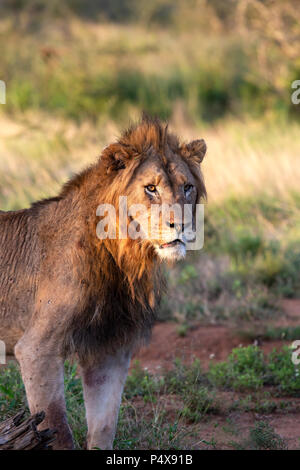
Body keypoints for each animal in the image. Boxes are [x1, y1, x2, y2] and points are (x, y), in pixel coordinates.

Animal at [0, 115, 206, 450]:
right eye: (151, 188)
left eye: (187, 187)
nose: (184, 225)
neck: (122, 257)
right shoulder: (36, 349)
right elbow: (58, 429)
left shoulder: (109, 349)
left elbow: (104, 426)